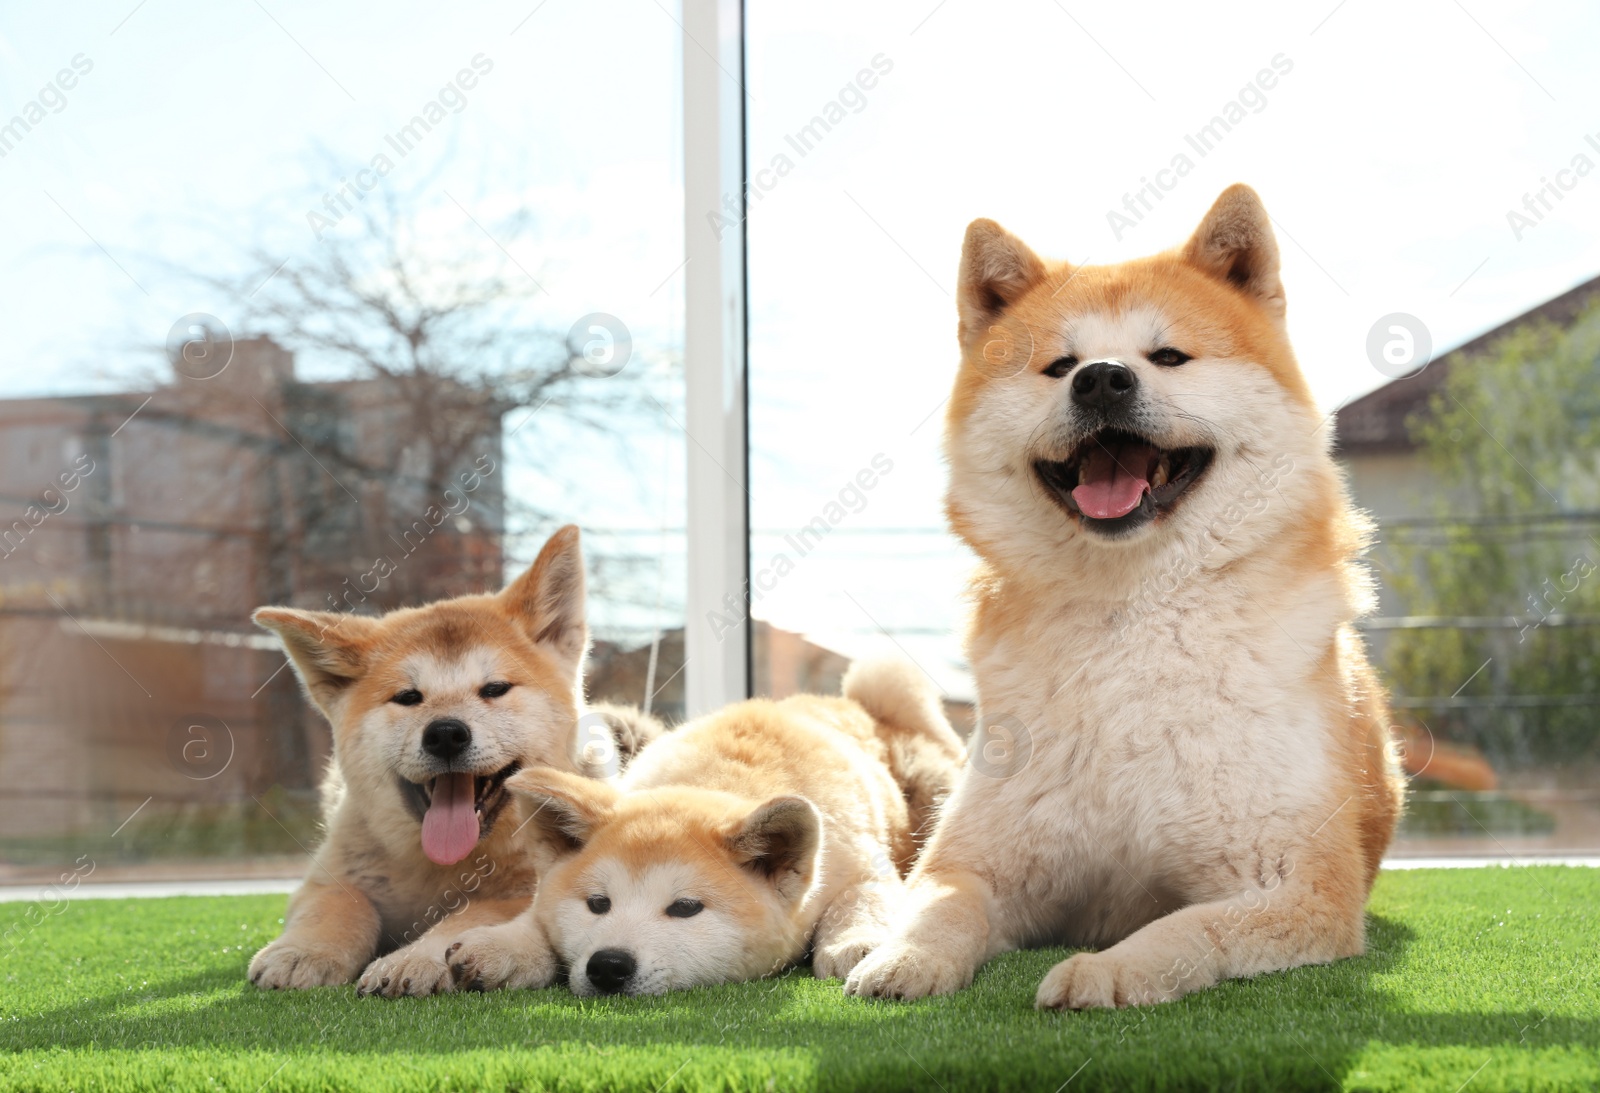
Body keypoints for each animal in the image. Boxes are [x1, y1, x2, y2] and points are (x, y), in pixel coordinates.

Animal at [244, 524, 656, 998]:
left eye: (494, 689)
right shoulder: (329, 877)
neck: (447, 869)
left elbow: (473, 913)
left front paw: (417, 956)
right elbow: (339, 903)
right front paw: (305, 951)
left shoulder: (531, 888)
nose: (445, 733)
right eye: (408, 697)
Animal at [441, 659, 960, 998]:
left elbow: (860, 899)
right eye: (597, 904)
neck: (720, 776)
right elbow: (536, 920)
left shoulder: (862, 865)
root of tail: (859, 705)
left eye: (686, 908)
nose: (608, 965)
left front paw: (855, 943)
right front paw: (504, 946)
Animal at [844, 185, 1408, 1011]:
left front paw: (1108, 968)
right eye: (1060, 366)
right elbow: (941, 907)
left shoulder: (1296, 883)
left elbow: (1185, 928)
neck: (1129, 623)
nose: (1102, 378)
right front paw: (903, 956)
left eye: (1168, 356)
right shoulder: (978, 860)